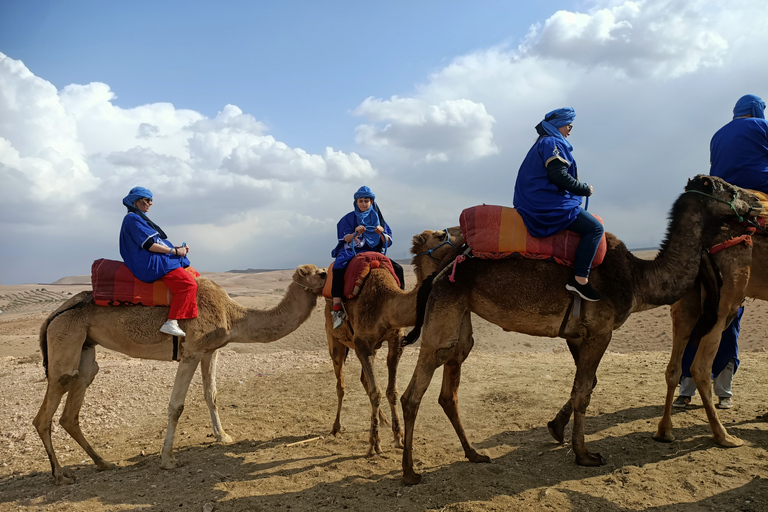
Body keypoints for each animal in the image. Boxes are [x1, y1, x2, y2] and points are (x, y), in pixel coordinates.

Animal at [32, 264, 328, 484]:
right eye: (320, 273)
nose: (329, 276)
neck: (232, 314)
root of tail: (53, 314)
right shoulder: (192, 351)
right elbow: (176, 406)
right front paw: (168, 460)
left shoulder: (211, 351)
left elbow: (212, 395)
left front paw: (223, 437)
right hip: (65, 338)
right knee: (48, 406)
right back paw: (60, 475)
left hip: (85, 347)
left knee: (73, 404)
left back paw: (103, 462)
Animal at [324, 228, 462, 456]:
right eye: (441, 235)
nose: (465, 239)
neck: (385, 304)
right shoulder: (361, 343)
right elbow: (376, 391)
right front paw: (374, 444)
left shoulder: (395, 341)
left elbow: (391, 391)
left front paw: (398, 437)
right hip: (335, 341)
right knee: (340, 383)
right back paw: (336, 428)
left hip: (372, 347)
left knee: (364, 380)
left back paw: (383, 420)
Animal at [656, 222, 768, 446]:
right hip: (722, 301)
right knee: (700, 368)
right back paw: (724, 436)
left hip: (687, 301)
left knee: (673, 368)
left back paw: (665, 431)